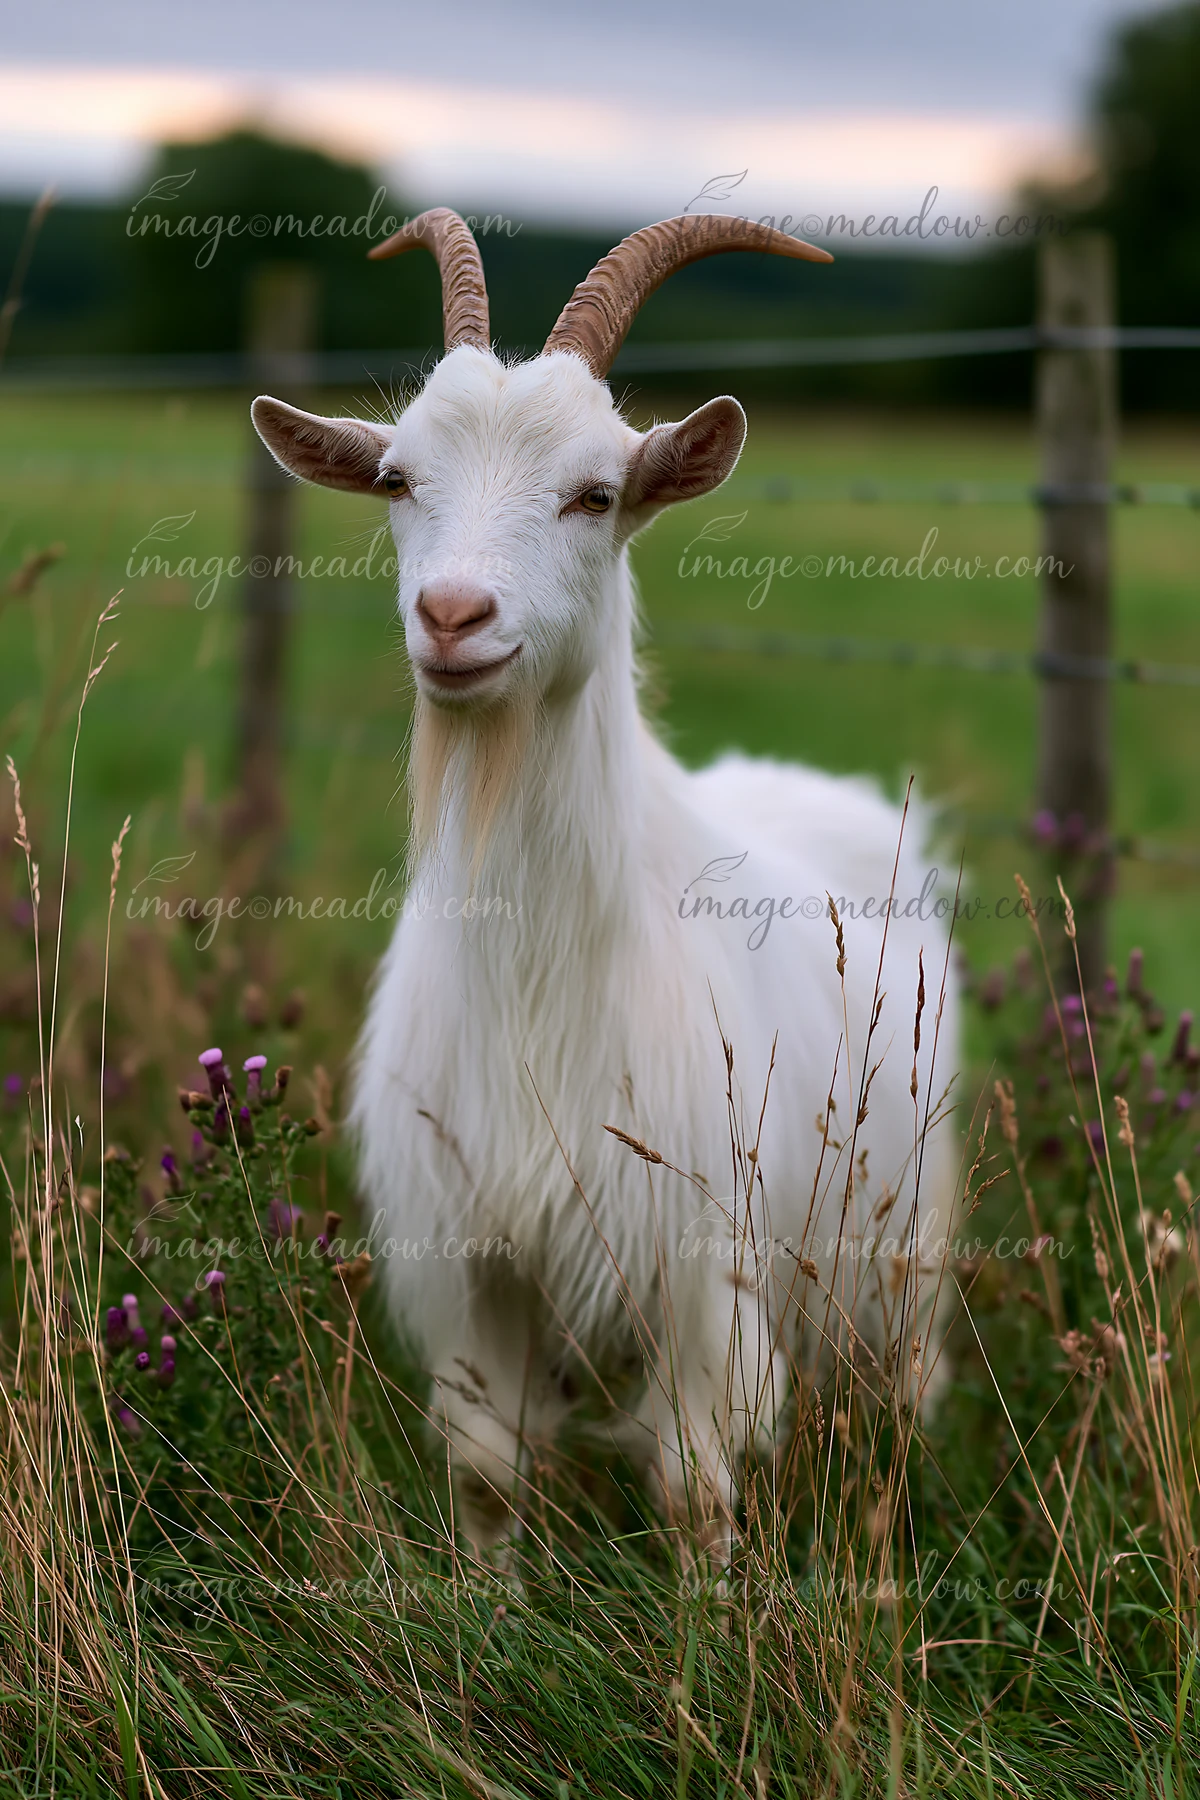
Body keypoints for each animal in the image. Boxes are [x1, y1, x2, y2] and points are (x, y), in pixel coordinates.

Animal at [253, 209, 961, 1560]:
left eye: (596, 493)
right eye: (398, 481)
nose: (452, 614)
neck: (541, 965)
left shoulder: (702, 1261)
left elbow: (693, 1487)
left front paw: (714, 1616)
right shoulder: (476, 1256)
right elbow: (486, 1468)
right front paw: (486, 1604)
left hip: (899, 1226)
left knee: (909, 1373)